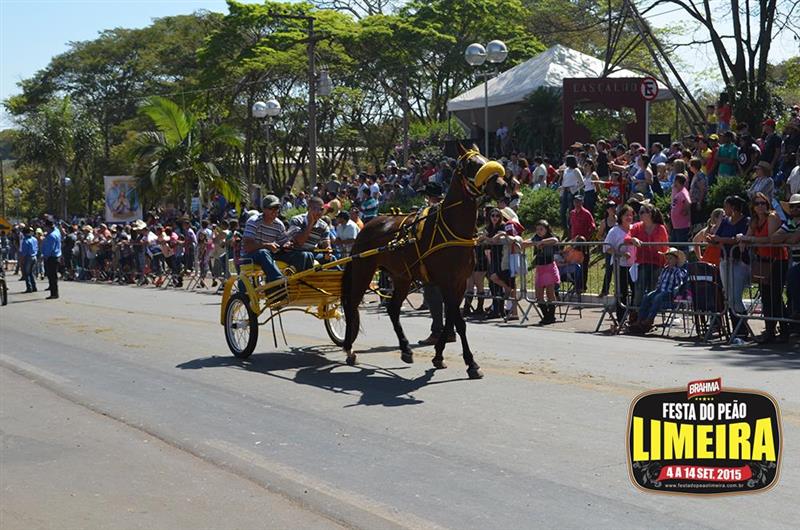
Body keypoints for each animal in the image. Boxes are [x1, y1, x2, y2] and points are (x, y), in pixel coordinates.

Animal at [340, 145, 508, 379]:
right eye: (472, 164)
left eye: (485, 158)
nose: (503, 186)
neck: (451, 229)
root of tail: (369, 224)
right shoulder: (447, 282)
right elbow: (458, 322)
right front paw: (471, 363)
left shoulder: (459, 283)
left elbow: (451, 320)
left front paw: (438, 355)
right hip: (363, 272)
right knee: (352, 305)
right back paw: (349, 349)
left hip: (401, 276)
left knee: (393, 309)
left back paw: (405, 348)